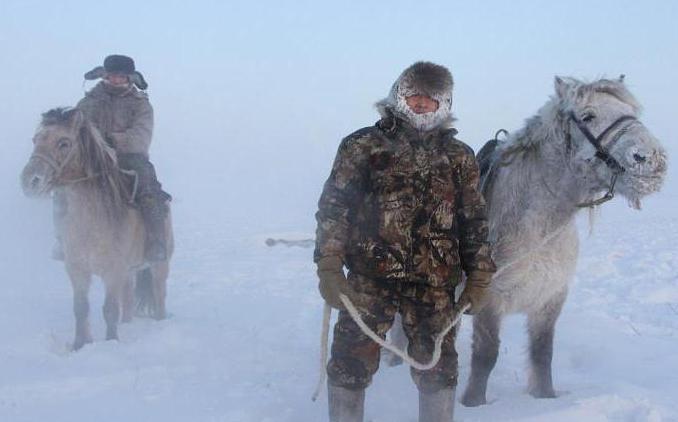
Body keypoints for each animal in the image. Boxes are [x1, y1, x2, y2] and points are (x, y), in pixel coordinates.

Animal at [20, 107, 174, 352]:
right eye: (35, 140)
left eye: (63, 143)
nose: (29, 181)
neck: (91, 223)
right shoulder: (78, 271)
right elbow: (81, 308)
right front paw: (79, 344)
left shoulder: (113, 272)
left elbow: (109, 309)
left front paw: (111, 342)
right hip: (129, 273)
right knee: (128, 301)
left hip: (160, 265)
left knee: (159, 295)